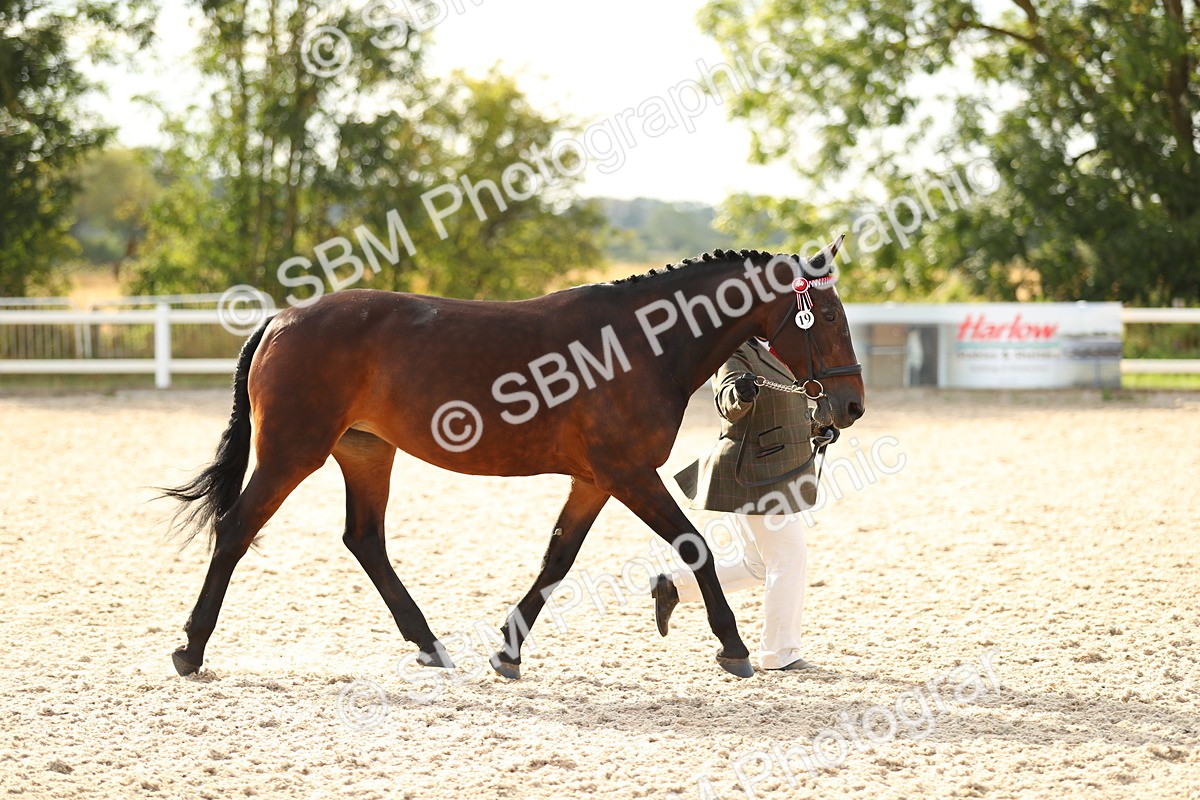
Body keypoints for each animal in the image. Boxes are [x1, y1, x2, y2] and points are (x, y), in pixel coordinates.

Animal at [162, 237, 865, 680]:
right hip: (292, 452)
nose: (852, 405)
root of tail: (281, 319)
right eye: (828, 315)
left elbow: (558, 558)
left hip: (365, 451)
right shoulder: (629, 474)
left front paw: (507, 652)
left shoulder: (595, 480)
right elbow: (694, 546)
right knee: (237, 528)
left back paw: (430, 645)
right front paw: (734, 647)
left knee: (363, 539)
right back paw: (190, 649)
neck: (641, 343)